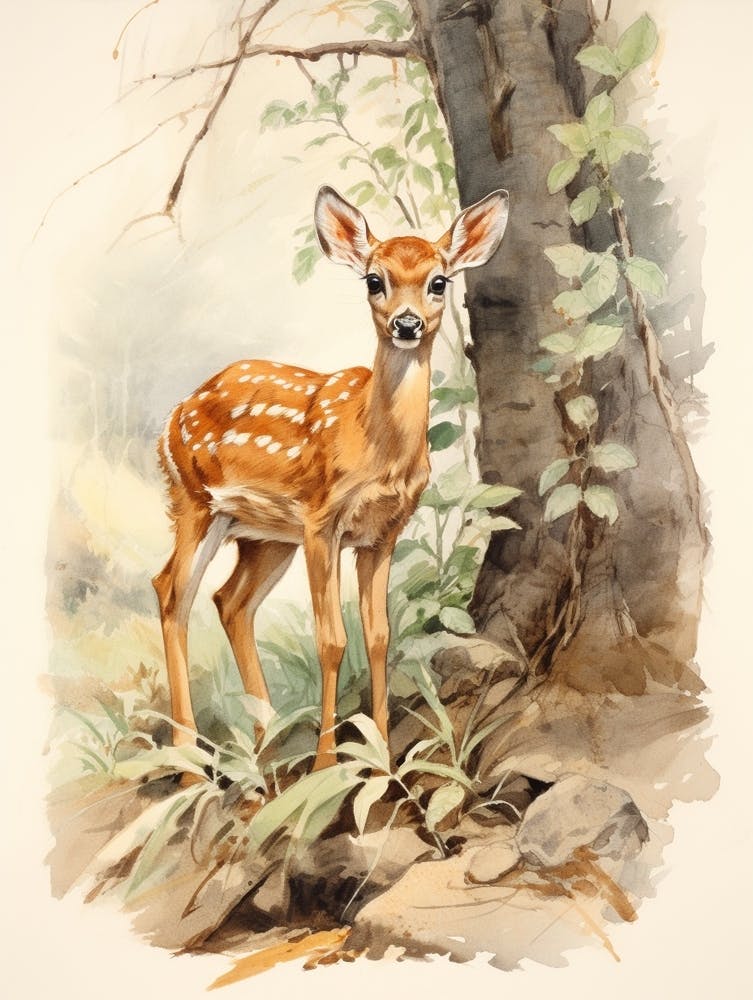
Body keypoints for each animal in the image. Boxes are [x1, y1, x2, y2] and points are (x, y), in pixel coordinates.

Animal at [153, 185, 509, 773]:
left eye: (439, 281)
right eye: (374, 280)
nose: (406, 324)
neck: (375, 446)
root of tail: (172, 416)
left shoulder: (383, 533)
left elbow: (379, 635)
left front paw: (383, 753)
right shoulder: (323, 520)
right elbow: (332, 640)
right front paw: (327, 764)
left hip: (264, 536)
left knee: (229, 601)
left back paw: (265, 742)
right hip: (192, 497)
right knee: (172, 591)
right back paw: (187, 759)